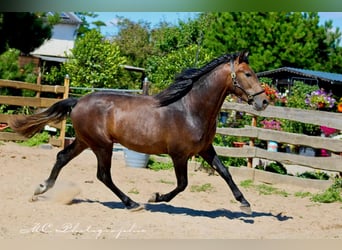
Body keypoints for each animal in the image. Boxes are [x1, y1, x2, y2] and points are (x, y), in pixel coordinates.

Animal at [9, 50, 268, 213]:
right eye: (248, 74)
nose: (263, 101)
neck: (190, 108)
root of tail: (78, 101)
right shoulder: (179, 155)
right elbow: (182, 184)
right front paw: (156, 197)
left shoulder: (205, 149)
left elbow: (225, 172)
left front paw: (245, 203)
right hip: (102, 145)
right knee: (103, 175)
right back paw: (132, 203)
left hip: (84, 141)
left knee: (62, 157)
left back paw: (41, 189)